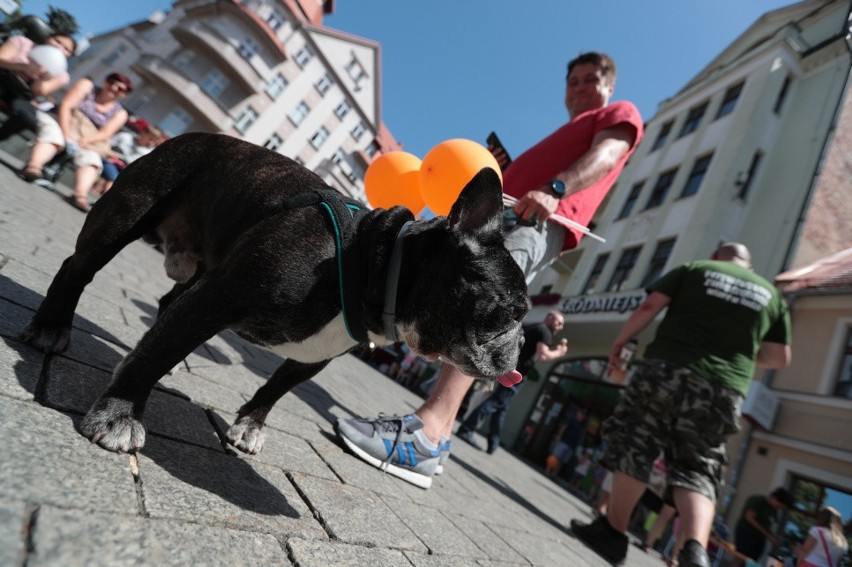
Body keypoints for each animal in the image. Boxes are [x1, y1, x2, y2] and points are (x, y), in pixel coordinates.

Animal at [21, 132, 524, 452]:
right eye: (512, 310)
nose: (521, 343)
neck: (370, 264)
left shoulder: (314, 354)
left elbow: (277, 387)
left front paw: (249, 426)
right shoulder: (219, 298)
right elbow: (154, 358)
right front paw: (119, 414)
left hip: (201, 268)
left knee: (167, 307)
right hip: (128, 214)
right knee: (77, 269)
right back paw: (51, 325)